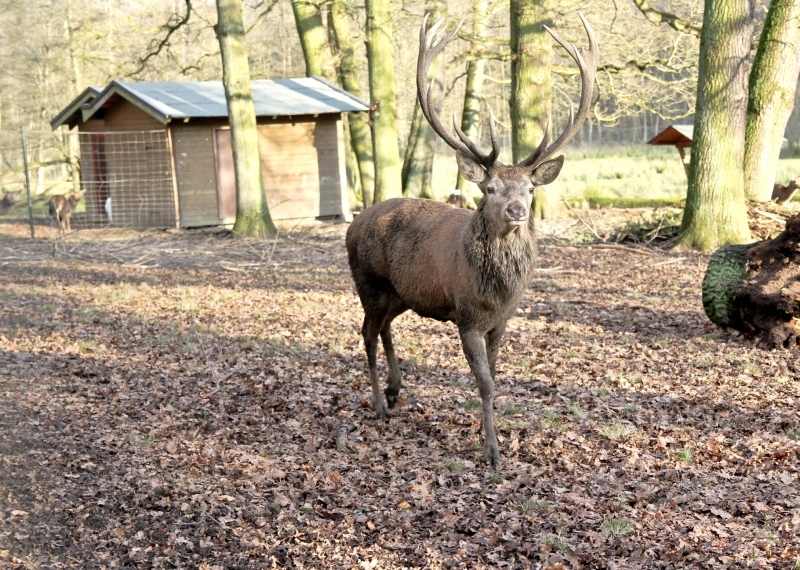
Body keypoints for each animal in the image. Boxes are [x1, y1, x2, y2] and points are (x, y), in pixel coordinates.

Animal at [346, 14, 597, 469]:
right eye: (491, 188)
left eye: (530, 188)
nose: (517, 210)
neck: (497, 292)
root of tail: (352, 226)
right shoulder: (467, 316)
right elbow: (484, 384)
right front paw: (493, 452)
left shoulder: (502, 321)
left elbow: (494, 377)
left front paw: (490, 437)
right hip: (367, 283)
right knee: (367, 332)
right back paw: (378, 403)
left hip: (401, 293)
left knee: (385, 327)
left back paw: (395, 389)